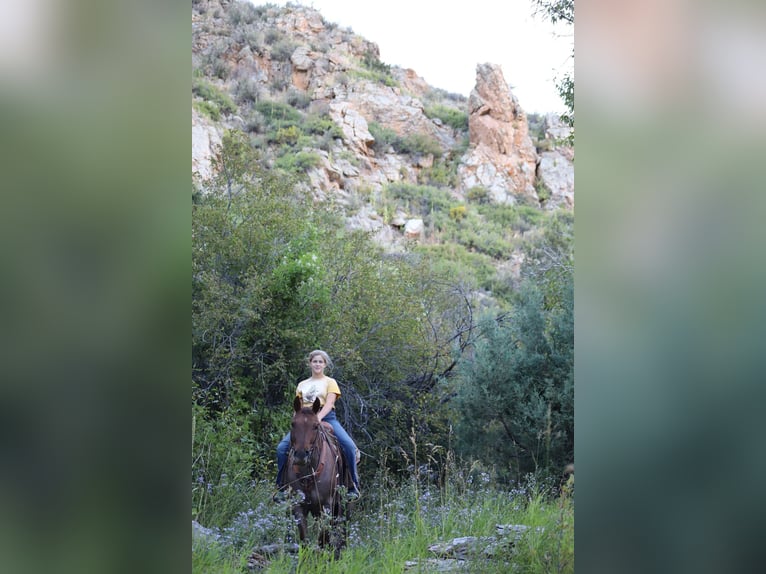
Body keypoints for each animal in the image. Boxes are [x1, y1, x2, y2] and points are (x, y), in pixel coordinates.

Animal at [284, 398, 352, 556]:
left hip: (343, 503)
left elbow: (323, 537)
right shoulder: (298, 505)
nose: (301, 455)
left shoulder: (327, 505)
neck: (308, 473)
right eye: (293, 424)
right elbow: (304, 538)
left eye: (315, 426)